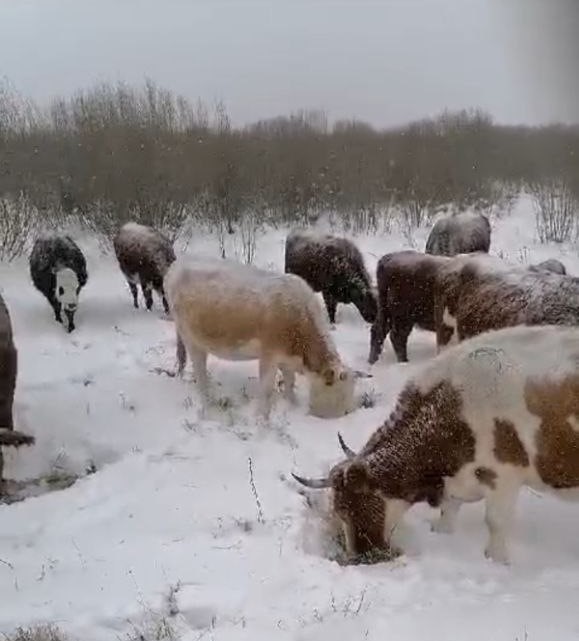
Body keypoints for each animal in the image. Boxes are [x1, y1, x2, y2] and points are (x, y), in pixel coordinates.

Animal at [163, 255, 358, 420]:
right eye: (339, 396)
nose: (346, 414)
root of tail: (175, 265)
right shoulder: (269, 354)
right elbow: (266, 389)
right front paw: (262, 417)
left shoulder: (286, 357)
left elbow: (290, 382)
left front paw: (292, 404)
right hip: (191, 338)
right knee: (199, 371)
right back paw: (208, 401)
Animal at [294, 324, 579, 564]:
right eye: (338, 511)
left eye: (353, 508)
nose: (363, 556)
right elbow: (449, 510)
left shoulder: (504, 475)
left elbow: (495, 521)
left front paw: (496, 561)